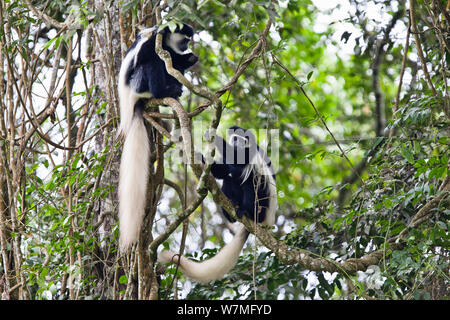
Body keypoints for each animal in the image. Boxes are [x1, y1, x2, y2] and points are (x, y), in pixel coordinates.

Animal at [118, 24, 198, 250]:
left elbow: (176, 61)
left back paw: (174, 88)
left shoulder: (171, 52)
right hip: (138, 83)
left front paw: (191, 58)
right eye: (184, 40)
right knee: (151, 63)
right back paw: (163, 90)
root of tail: (133, 105)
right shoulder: (154, 42)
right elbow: (149, 51)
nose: (187, 46)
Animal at [158, 127, 278, 282]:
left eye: (242, 139)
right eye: (235, 138)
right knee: (229, 179)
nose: (237, 143)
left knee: (250, 181)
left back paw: (246, 211)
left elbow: (238, 165)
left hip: (263, 204)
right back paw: (231, 212)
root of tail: (266, 221)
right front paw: (200, 157)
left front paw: (214, 136)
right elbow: (224, 170)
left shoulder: (249, 154)